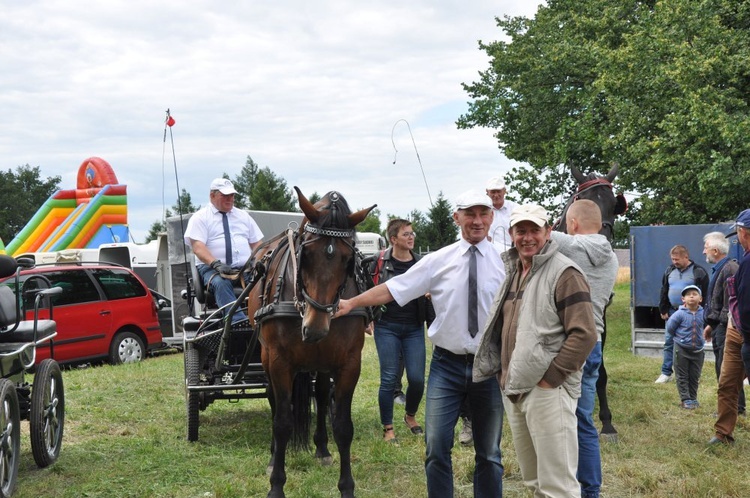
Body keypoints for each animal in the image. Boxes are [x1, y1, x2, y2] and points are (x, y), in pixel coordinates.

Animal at [247, 188, 376, 498]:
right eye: (306, 254)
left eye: (348, 259)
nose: (315, 328)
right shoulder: (280, 361)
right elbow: (283, 422)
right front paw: (276, 485)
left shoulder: (349, 364)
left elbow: (343, 426)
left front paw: (346, 487)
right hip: (266, 357)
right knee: (274, 401)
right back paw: (274, 455)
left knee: (320, 394)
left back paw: (322, 448)